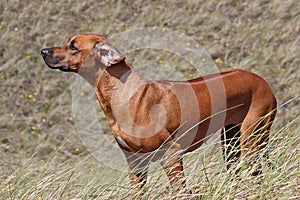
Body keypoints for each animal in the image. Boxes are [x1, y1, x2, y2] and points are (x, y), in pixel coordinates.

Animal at [41, 33, 278, 190]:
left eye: (73, 47)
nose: (43, 51)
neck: (123, 94)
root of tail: (262, 80)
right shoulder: (134, 163)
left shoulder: (171, 154)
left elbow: (180, 191)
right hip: (231, 143)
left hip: (252, 139)